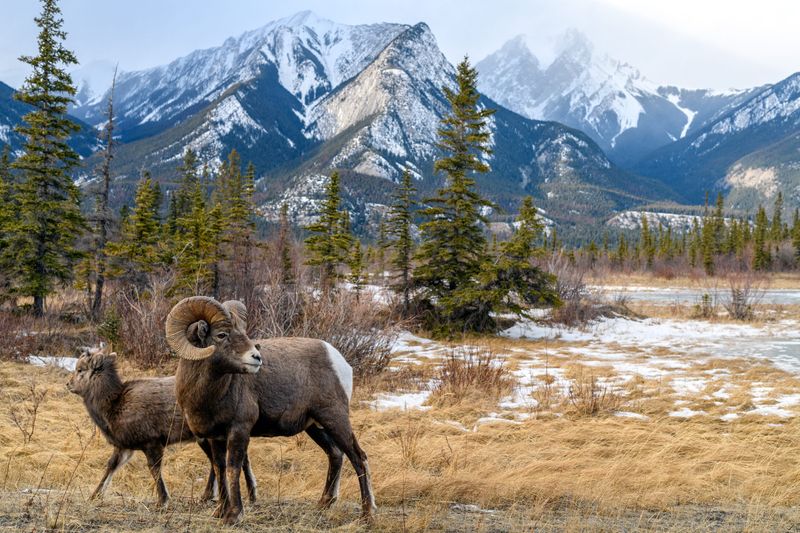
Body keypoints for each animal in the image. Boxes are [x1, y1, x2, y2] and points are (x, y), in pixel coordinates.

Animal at [68, 348, 260, 504]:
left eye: (80, 369)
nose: (68, 384)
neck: (113, 408)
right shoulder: (124, 446)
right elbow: (110, 466)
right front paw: (94, 495)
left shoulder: (151, 440)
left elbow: (154, 469)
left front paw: (163, 499)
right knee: (231, 459)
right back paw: (233, 495)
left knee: (225, 460)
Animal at [166, 298, 378, 524]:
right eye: (221, 335)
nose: (256, 357)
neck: (207, 395)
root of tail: (339, 360)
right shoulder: (216, 437)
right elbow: (219, 468)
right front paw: (220, 512)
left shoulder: (239, 430)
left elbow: (233, 468)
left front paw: (233, 515)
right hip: (315, 427)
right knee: (336, 454)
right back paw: (324, 503)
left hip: (335, 418)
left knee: (358, 458)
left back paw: (367, 514)